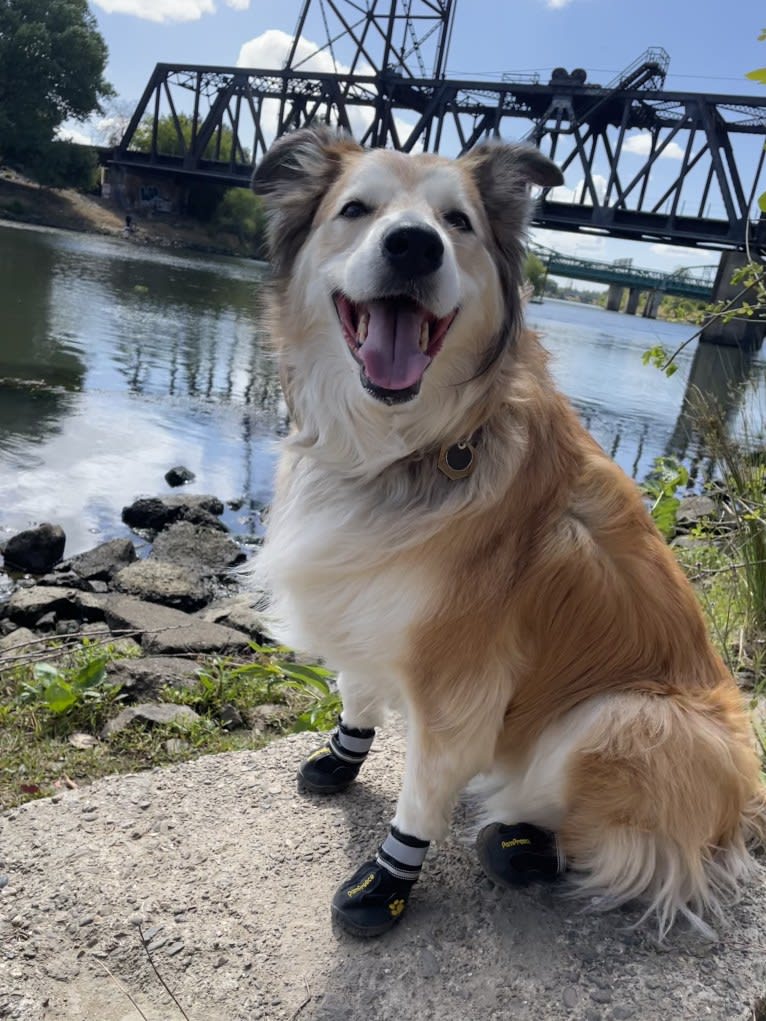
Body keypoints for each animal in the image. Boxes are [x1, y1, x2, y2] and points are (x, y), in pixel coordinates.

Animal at [250, 123, 763, 935]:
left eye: (457, 222)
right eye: (356, 209)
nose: (413, 246)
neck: (410, 445)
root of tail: (744, 807)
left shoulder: (461, 683)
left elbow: (420, 795)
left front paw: (386, 880)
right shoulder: (364, 594)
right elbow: (357, 689)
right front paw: (341, 756)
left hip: (625, 720)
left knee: (639, 853)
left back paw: (522, 847)